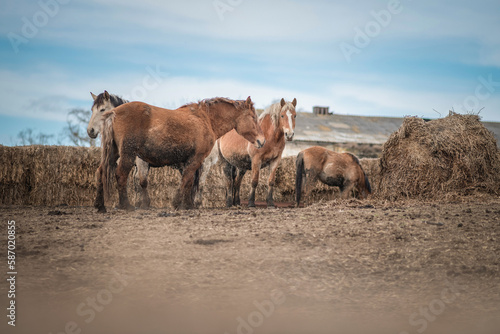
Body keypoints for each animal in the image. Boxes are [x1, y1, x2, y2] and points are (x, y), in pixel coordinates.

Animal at [94, 96, 266, 211]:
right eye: (253, 117)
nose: (262, 140)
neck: (205, 119)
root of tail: (113, 112)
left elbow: (189, 182)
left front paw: (187, 204)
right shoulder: (196, 160)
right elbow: (187, 180)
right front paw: (179, 203)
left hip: (113, 153)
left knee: (101, 172)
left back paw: (100, 205)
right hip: (127, 154)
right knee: (121, 175)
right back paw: (125, 205)